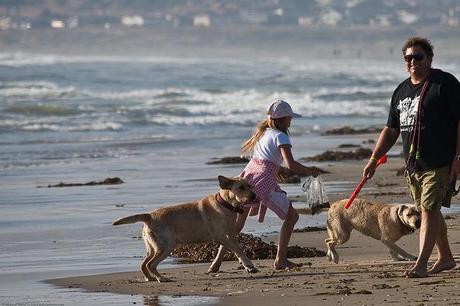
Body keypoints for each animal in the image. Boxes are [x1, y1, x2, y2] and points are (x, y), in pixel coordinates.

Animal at [110, 176, 255, 284]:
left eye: (250, 185)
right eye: (241, 188)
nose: (254, 196)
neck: (225, 204)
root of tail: (149, 215)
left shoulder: (230, 235)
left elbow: (233, 249)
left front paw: (244, 265)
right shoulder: (223, 236)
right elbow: (239, 250)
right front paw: (249, 265)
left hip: (153, 247)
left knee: (143, 264)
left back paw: (150, 278)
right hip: (166, 246)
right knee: (151, 264)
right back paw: (161, 278)